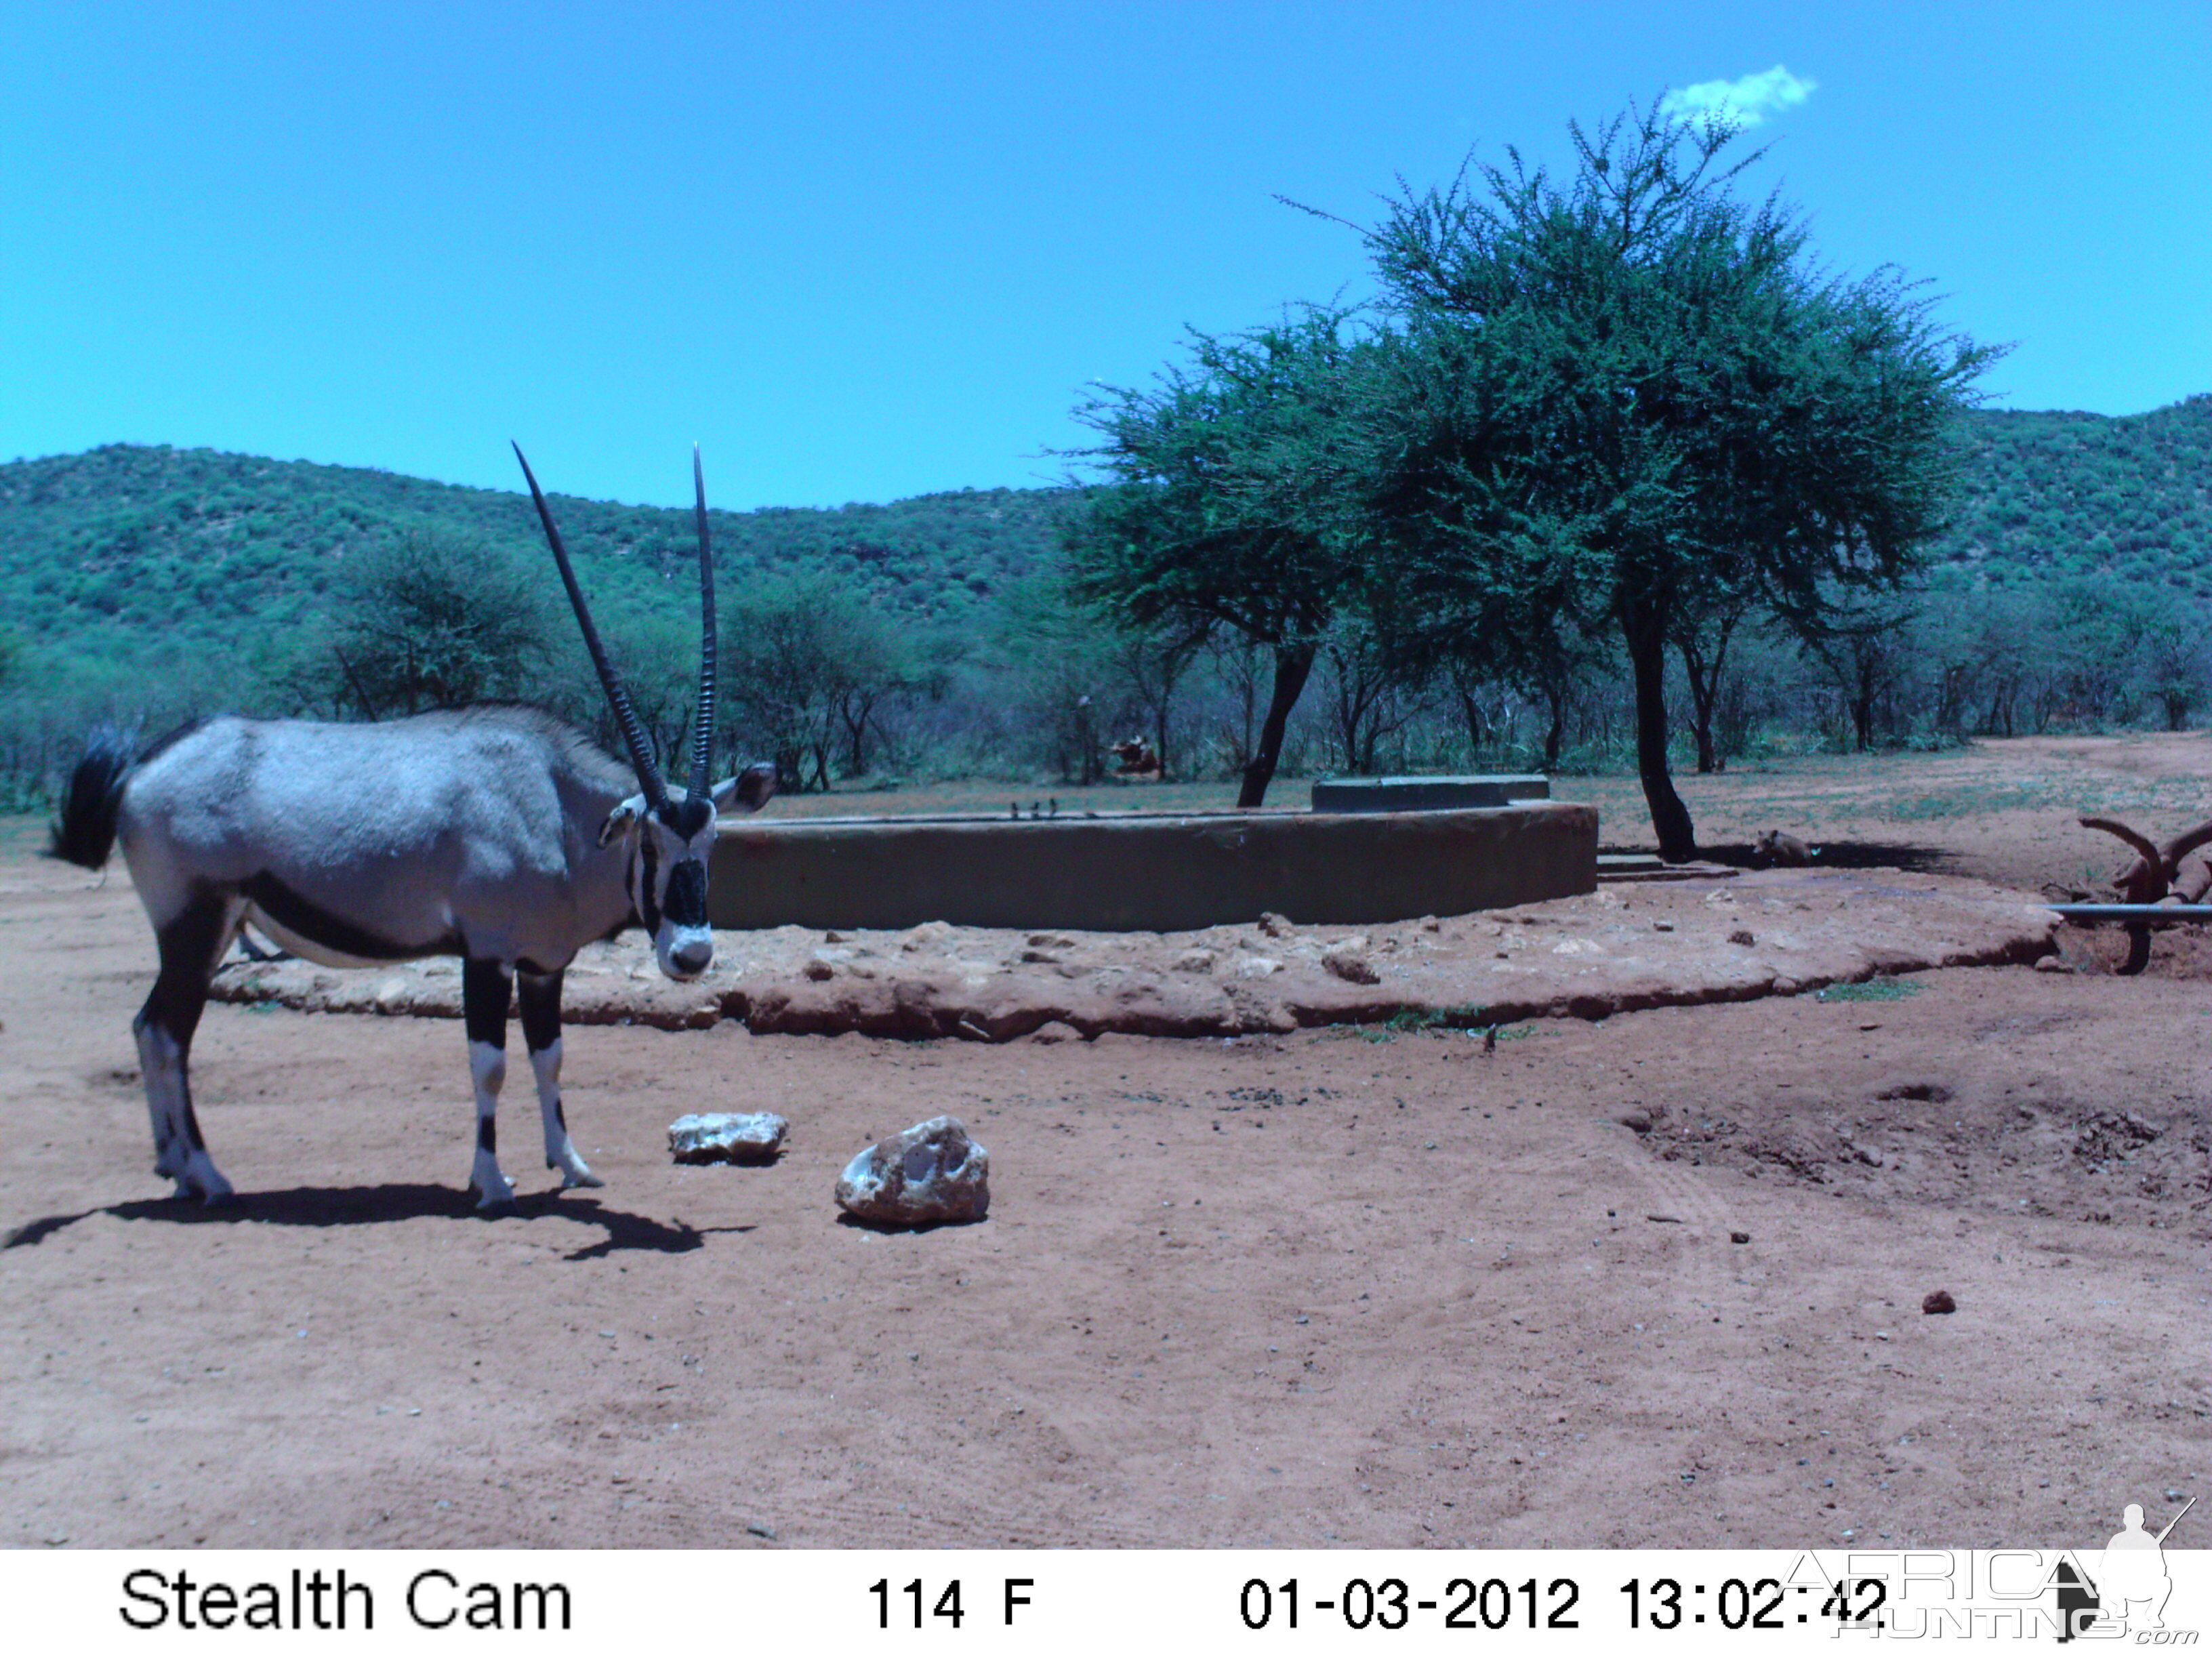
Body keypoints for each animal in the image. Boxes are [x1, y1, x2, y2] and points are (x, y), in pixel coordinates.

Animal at [47, 449, 774, 1212]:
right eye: (649, 842)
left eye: (712, 842)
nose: (691, 956)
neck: (553, 804)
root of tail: (140, 768)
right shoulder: (485, 955)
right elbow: (490, 1065)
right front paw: (491, 1182)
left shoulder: (544, 964)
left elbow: (549, 1057)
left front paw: (571, 1165)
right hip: (195, 925)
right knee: (165, 1032)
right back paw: (207, 1177)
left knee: (150, 1028)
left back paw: (173, 1166)